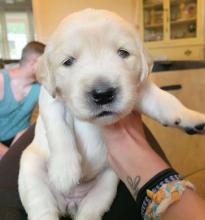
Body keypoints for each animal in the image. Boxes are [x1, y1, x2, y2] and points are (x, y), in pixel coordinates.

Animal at [18, 8, 205, 220]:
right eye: (68, 61)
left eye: (123, 53)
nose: (103, 94)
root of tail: (70, 203)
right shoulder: (50, 100)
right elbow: (59, 129)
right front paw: (64, 170)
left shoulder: (140, 89)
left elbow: (165, 101)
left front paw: (190, 117)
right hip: (31, 170)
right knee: (42, 208)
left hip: (107, 184)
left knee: (90, 211)